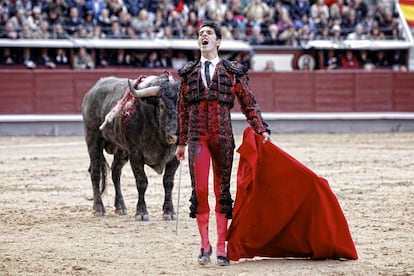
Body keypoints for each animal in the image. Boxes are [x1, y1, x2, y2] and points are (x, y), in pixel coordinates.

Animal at [81, 70, 180, 220]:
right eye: (162, 106)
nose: (175, 136)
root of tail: (92, 91)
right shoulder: (136, 155)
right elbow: (142, 181)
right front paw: (142, 213)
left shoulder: (175, 158)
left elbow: (168, 182)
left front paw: (169, 212)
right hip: (93, 139)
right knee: (95, 172)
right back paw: (99, 208)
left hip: (121, 150)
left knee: (115, 172)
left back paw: (120, 207)